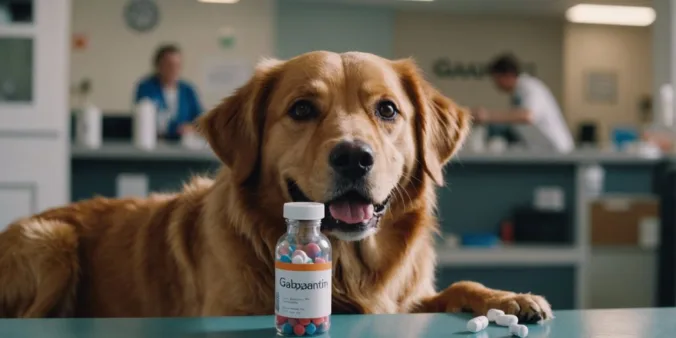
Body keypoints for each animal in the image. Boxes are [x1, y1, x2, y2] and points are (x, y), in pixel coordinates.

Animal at [0, 50, 548, 320]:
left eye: (387, 109)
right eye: (302, 109)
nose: (355, 157)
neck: (348, 266)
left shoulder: (405, 297)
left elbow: (456, 286)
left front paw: (507, 298)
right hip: (53, 242)